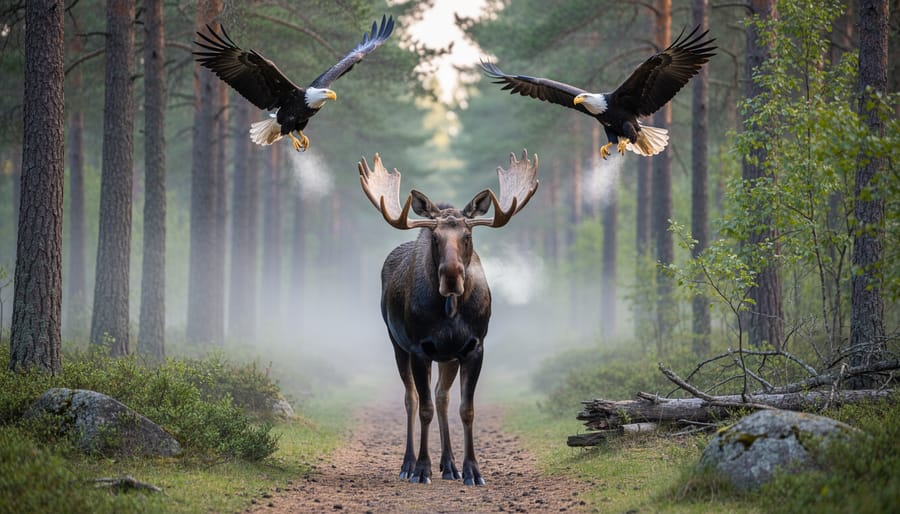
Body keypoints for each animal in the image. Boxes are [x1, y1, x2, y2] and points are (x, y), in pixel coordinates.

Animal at [358, 150, 539, 486]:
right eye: (435, 238)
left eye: (467, 235)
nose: (452, 276)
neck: (452, 312)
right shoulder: (419, 348)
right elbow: (424, 408)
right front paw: (421, 469)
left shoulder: (473, 347)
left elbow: (466, 409)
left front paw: (472, 470)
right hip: (397, 344)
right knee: (412, 398)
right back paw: (409, 463)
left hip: (447, 357)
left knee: (442, 396)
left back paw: (450, 465)